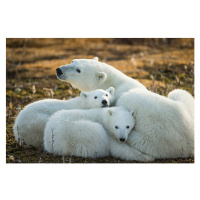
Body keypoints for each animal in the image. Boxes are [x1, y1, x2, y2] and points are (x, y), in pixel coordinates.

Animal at [56, 56, 194, 159]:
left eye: (78, 70)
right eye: (73, 61)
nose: (59, 70)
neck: (114, 83)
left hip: (157, 141)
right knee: (178, 92)